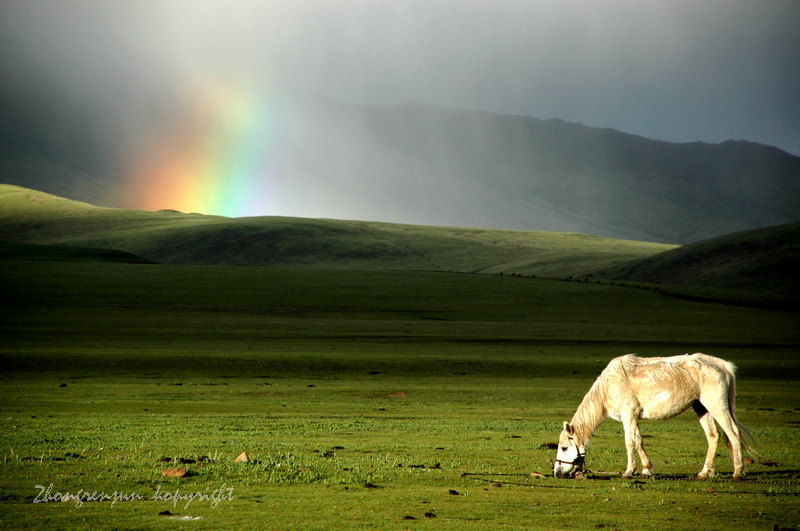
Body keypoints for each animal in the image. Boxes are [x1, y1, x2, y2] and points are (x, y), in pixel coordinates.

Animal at [552, 354, 752, 482]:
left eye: (564, 447)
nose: (556, 472)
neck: (609, 386)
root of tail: (724, 365)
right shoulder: (633, 418)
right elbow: (639, 442)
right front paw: (646, 470)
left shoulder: (628, 416)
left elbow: (629, 443)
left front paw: (629, 471)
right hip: (702, 408)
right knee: (713, 436)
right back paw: (705, 473)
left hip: (717, 407)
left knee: (733, 435)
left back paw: (737, 472)